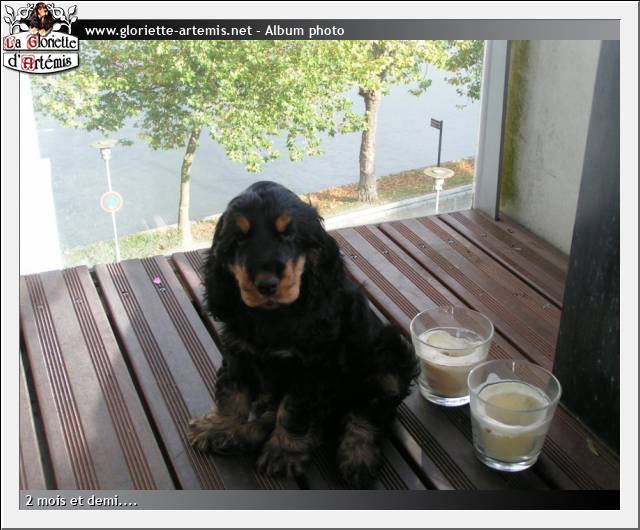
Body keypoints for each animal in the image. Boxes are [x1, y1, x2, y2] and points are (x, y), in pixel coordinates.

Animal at [187, 181, 418, 487]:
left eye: (289, 234)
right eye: (239, 238)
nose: (267, 285)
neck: (272, 316)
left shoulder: (310, 366)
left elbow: (293, 409)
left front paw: (284, 451)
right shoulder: (238, 350)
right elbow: (232, 392)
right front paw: (218, 427)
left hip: (390, 354)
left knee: (368, 410)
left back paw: (358, 455)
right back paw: (244, 433)